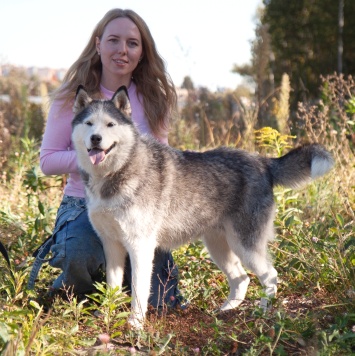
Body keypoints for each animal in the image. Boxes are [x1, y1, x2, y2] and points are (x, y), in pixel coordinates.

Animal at [71, 85, 334, 326]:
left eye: (110, 125)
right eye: (89, 123)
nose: (96, 138)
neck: (115, 172)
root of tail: (262, 162)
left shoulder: (140, 246)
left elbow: (138, 292)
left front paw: (135, 323)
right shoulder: (112, 245)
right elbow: (112, 288)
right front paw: (107, 316)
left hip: (245, 245)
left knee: (270, 276)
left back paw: (262, 312)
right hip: (219, 247)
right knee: (241, 279)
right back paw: (226, 311)